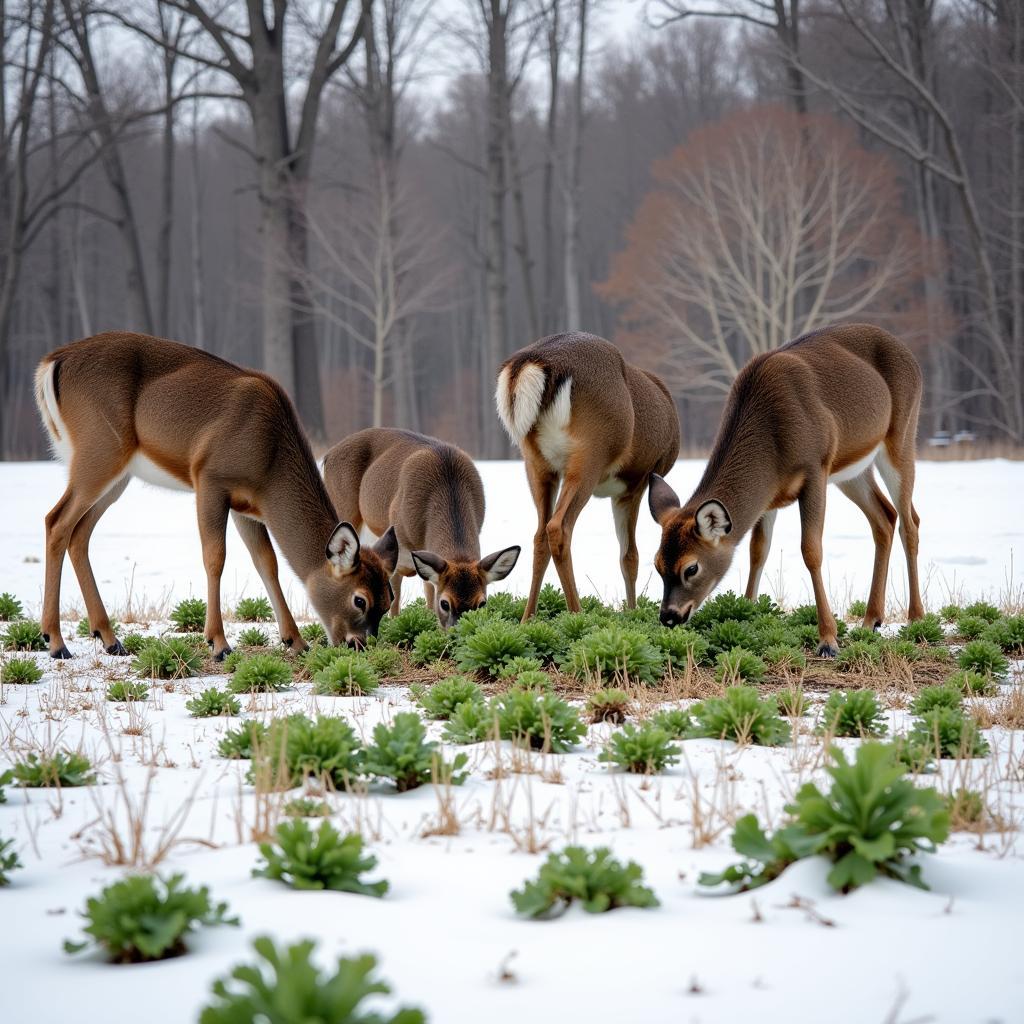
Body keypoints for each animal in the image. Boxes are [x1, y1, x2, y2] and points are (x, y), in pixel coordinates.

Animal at [32, 331, 399, 659]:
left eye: (388, 599)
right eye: (360, 599)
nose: (359, 645)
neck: (269, 462)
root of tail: (52, 362)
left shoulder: (247, 506)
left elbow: (267, 562)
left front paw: (294, 641)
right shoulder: (210, 478)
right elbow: (215, 557)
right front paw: (219, 643)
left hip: (116, 474)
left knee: (79, 533)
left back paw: (109, 639)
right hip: (99, 451)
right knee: (56, 521)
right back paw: (56, 642)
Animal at [321, 423, 520, 622]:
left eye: (482, 603)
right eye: (445, 603)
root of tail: (327, 455)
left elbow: (428, 597)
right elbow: (396, 601)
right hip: (342, 507)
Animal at [495, 331, 679, 614]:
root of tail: (531, 362)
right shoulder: (636, 482)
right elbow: (630, 556)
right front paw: (632, 611)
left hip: (536, 463)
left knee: (539, 535)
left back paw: (528, 618)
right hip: (591, 453)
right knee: (558, 527)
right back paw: (576, 613)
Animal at [647, 321, 929, 655]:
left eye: (691, 568)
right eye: (657, 564)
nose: (669, 616)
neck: (773, 445)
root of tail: (909, 354)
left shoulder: (815, 468)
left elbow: (811, 550)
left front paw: (828, 639)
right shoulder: (770, 497)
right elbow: (758, 551)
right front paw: (748, 612)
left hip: (902, 435)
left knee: (910, 521)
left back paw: (916, 618)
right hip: (852, 470)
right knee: (885, 517)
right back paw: (872, 619)